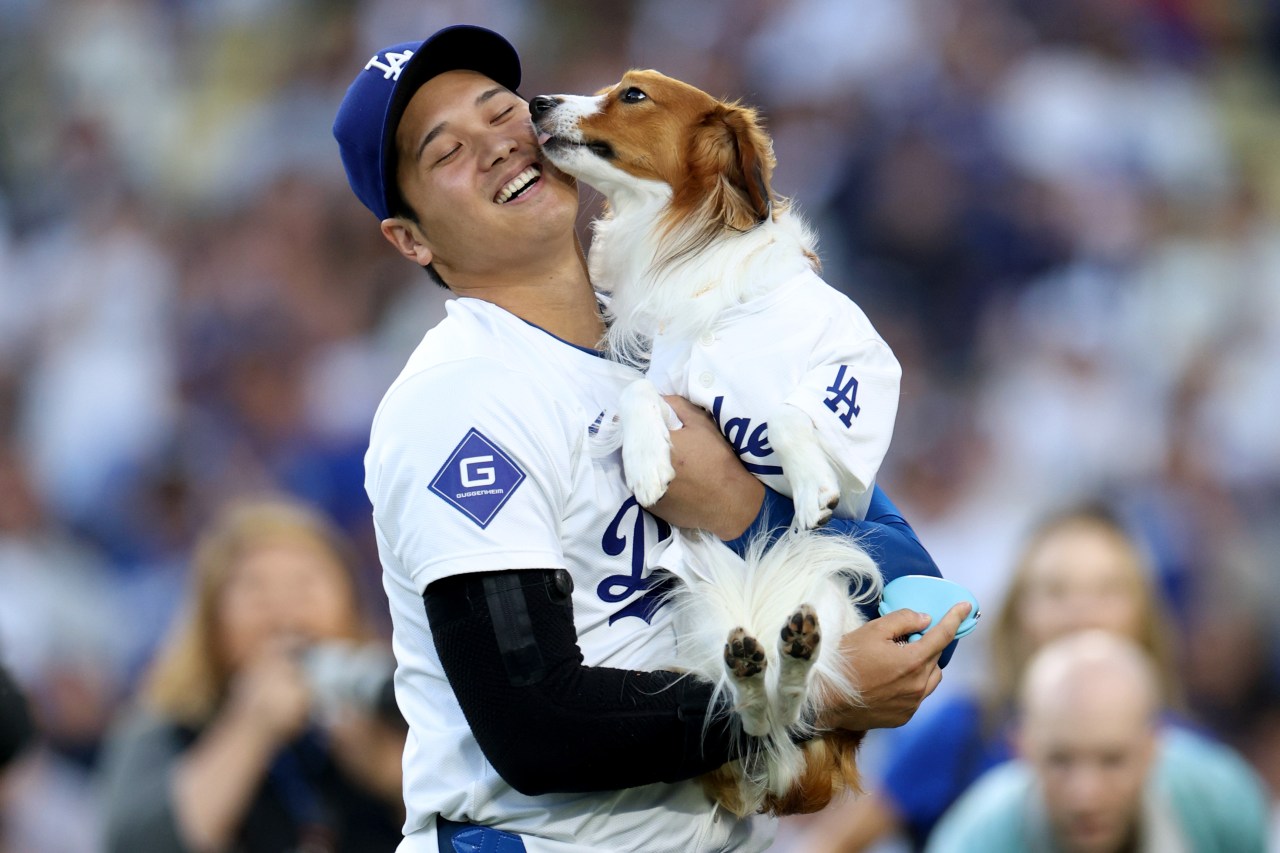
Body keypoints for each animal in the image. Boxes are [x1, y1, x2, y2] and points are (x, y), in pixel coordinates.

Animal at [529, 71, 901, 809]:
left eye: (633, 95)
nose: (536, 103)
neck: (693, 253)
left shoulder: (862, 391)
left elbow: (790, 414)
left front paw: (809, 484)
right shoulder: (666, 376)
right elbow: (639, 394)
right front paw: (648, 461)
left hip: (830, 597)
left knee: (794, 698)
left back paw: (785, 654)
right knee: (751, 712)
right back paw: (756, 667)